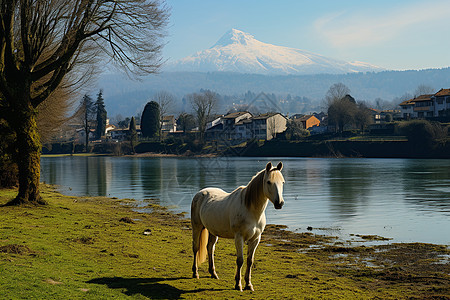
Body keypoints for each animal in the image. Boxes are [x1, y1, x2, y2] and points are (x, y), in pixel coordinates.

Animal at [191, 162, 284, 290]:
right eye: (269, 182)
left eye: (282, 182)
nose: (279, 203)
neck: (251, 210)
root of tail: (200, 193)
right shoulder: (239, 237)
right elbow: (240, 260)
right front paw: (238, 284)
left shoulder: (255, 239)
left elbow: (250, 261)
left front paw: (248, 284)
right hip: (197, 227)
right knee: (196, 248)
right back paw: (195, 273)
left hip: (213, 231)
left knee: (210, 248)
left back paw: (213, 273)